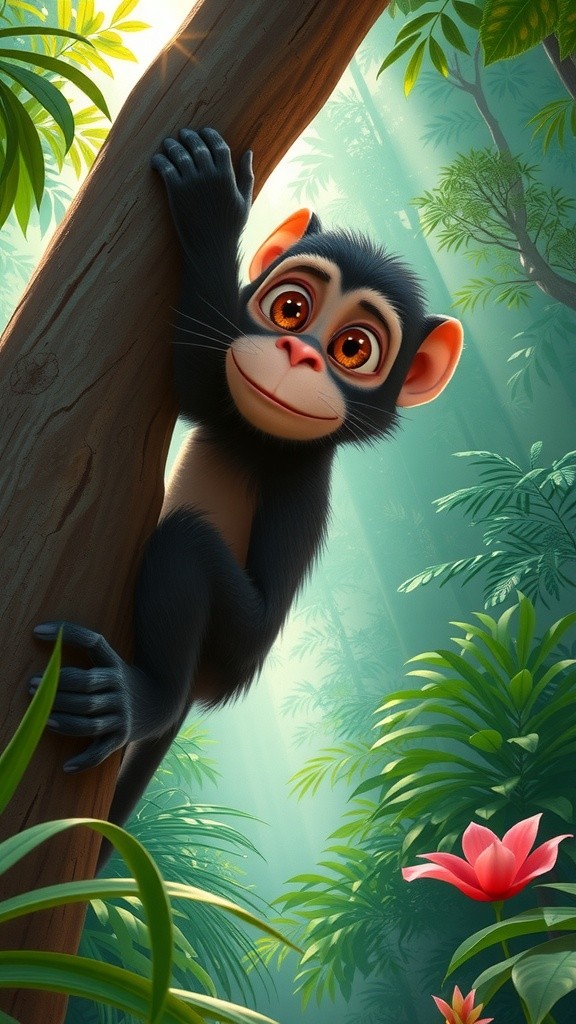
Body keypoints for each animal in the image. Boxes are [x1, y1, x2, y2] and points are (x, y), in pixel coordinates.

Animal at [31, 128, 462, 850]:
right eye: (291, 309)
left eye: (353, 349)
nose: (300, 356)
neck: (267, 439)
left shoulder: (292, 472)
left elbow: (193, 373)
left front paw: (212, 212)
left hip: (232, 652)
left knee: (184, 547)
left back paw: (142, 701)